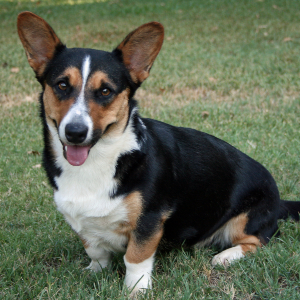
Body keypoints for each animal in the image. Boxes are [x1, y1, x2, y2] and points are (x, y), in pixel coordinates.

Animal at [17, 10, 300, 296]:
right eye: (62, 85)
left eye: (106, 90)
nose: (75, 132)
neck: (98, 161)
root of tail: (278, 199)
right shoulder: (84, 223)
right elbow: (95, 250)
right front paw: (95, 271)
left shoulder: (149, 220)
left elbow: (136, 257)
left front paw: (136, 290)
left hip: (246, 218)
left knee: (259, 240)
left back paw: (225, 256)